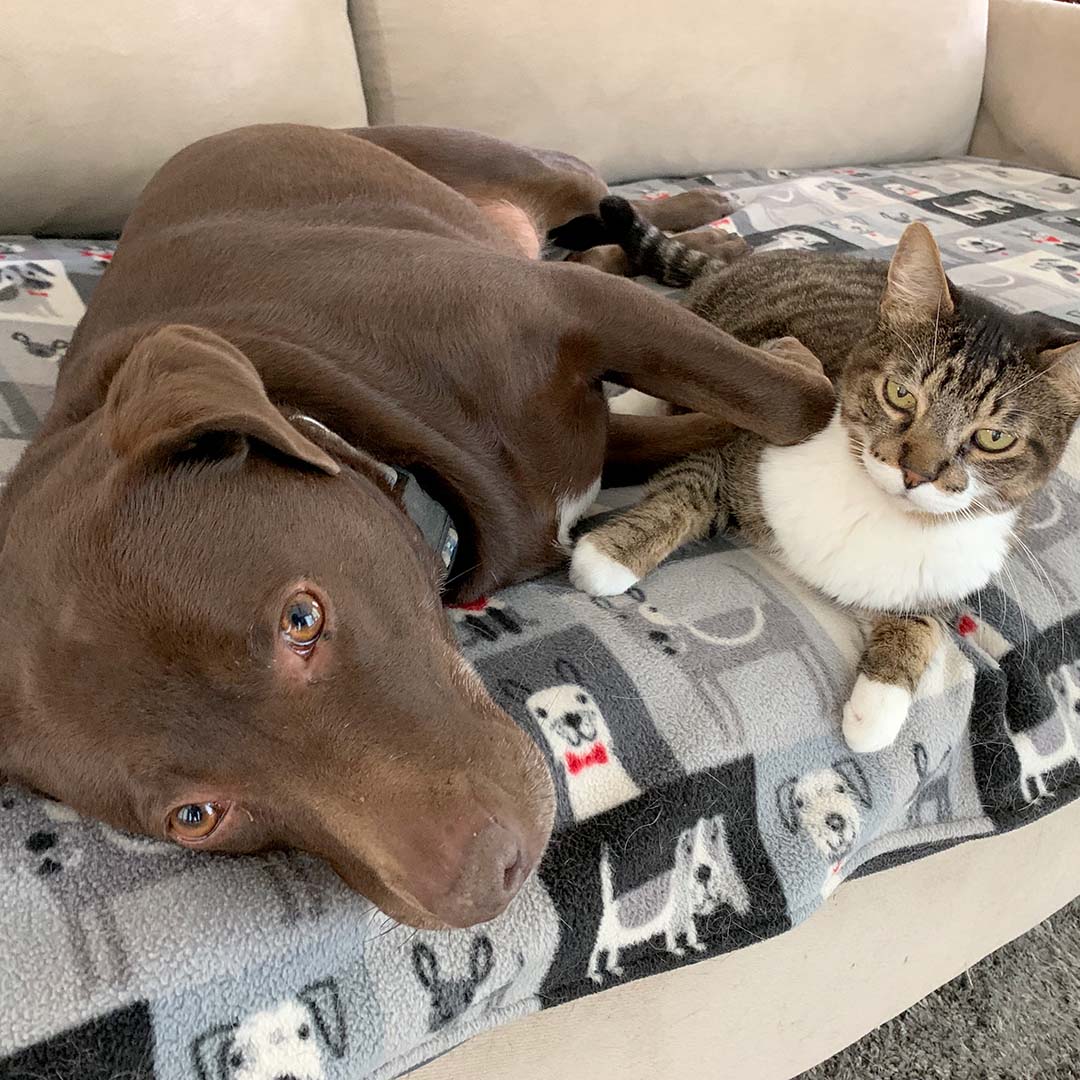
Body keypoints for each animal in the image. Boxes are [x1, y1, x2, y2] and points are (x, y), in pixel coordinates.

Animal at [0, 124, 833, 928]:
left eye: (301, 619)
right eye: (195, 816)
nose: (491, 879)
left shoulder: (575, 309)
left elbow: (791, 403)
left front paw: (799, 359)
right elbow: (719, 425)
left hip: (514, 167)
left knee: (600, 206)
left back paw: (701, 214)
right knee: (597, 242)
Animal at [574, 196, 1080, 751]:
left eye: (993, 438)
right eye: (900, 394)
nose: (915, 473)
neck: (881, 513)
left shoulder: (952, 580)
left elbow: (922, 623)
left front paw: (877, 707)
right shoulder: (733, 448)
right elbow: (683, 496)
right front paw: (606, 557)